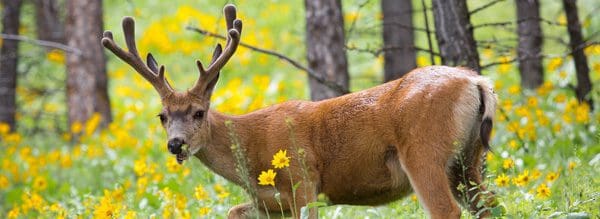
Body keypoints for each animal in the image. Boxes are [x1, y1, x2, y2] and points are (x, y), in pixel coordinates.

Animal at [102, 3, 496, 219]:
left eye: (198, 112)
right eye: (162, 116)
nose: (176, 144)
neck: (251, 150)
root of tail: (477, 81)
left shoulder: (303, 181)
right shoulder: (267, 202)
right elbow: (231, 210)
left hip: (423, 151)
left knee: (446, 210)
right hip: (468, 159)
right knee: (489, 203)